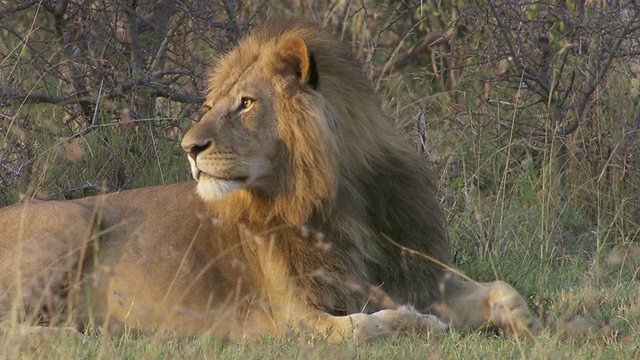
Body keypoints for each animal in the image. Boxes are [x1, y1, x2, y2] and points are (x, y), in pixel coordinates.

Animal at [0, 18, 540, 342]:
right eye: (210, 104)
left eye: (245, 103)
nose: (188, 148)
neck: (340, 199)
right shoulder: (296, 318)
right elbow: (369, 327)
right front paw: (419, 324)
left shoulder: (416, 272)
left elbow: (504, 290)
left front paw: (533, 327)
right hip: (68, 226)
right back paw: (76, 335)